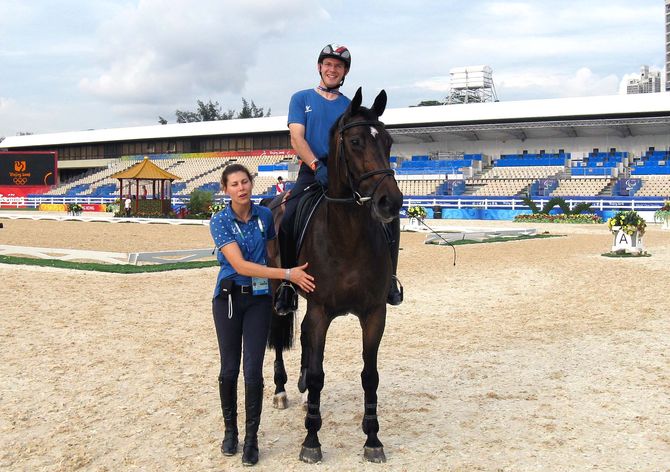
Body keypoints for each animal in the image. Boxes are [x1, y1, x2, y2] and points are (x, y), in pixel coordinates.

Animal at [268, 86, 404, 462]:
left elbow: (370, 375)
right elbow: (318, 375)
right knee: (278, 338)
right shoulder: (320, 311)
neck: (347, 234)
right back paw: (282, 391)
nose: (391, 202)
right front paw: (311, 441)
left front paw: (373, 439)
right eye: (355, 141)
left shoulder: (374, 313)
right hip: (274, 288)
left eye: (388, 141)